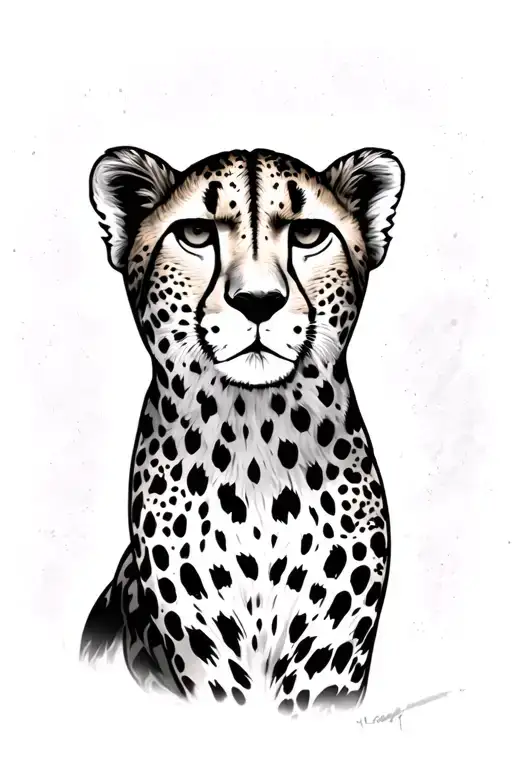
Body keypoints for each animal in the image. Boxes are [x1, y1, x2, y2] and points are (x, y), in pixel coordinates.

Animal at [80, 144, 405, 716]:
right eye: (195, 233)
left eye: (307, 234)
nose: (257, 301)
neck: (258, 439)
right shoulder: (203, 650)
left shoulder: (328, 659)